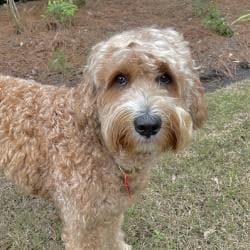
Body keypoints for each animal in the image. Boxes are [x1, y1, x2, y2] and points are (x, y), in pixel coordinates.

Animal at [0, 27, 205, 248]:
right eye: (120, 78)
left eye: (166, 77)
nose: (147, 124)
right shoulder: (80, 221)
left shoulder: (111, 210)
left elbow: (112, 235)